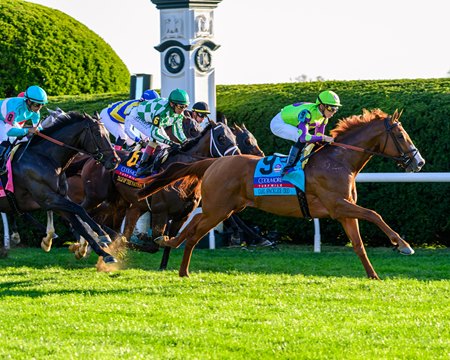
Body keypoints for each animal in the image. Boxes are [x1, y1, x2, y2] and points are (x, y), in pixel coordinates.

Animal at [0, 111, 121, 262]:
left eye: (107, 133)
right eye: (98, 134)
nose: (115, 160)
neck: (47, 158)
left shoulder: (60, 199)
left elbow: (78, 223)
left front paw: (103, 253)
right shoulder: (48, 199)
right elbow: (80, 209)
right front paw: (101, 233)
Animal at [139, 109, 428, 278]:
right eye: (401, 135)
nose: (419, 162)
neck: (339, 160)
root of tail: (213, 162)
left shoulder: (345, 211)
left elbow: (359, 245)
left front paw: (373, 276)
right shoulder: (338, 205)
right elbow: (375, 214)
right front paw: (404, 245)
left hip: (226, 208)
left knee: (193, 227)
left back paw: (171, 248)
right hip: (218, 209)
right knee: (194, 232)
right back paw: (178, 261)